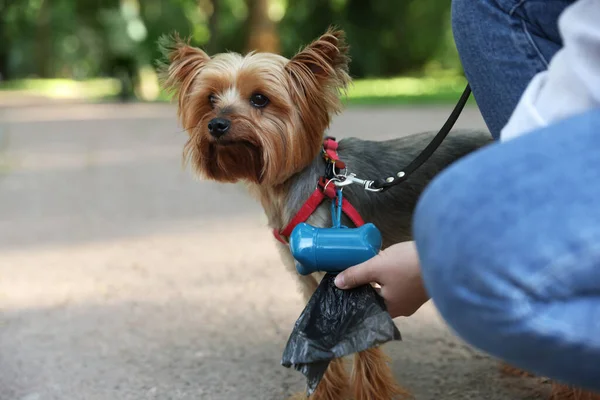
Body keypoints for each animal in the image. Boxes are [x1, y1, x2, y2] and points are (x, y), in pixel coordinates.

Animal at [156, 28, 496, 400]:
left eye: (260, 99)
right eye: (210, 99)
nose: (216, 124)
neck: (299, 184)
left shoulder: (349, 274)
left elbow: (361, 346)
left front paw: (370, 393)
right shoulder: (306, 277)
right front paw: (323, 392)